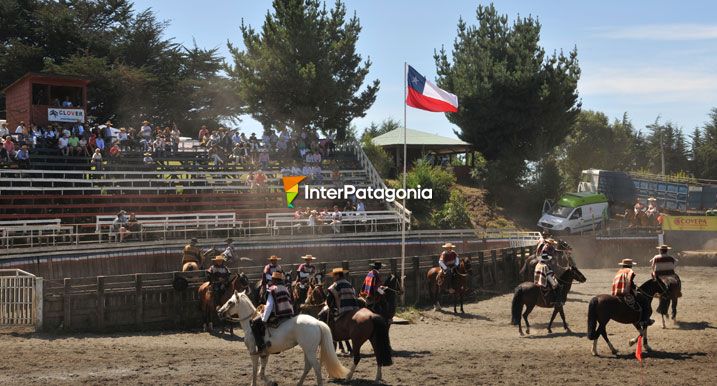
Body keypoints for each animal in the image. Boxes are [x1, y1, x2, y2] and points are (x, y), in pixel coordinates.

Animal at [217, 292, 348, 384]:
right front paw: (272, 383)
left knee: (316, 368)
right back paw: (298, 383)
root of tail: (317, 322)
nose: (219, 312)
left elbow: (255, 372)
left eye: (230, 302)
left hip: (310, 351)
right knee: (308, 366)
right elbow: (261, 372)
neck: (250, 324)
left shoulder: (253, 353)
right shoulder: (264, 353)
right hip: (307, 350)